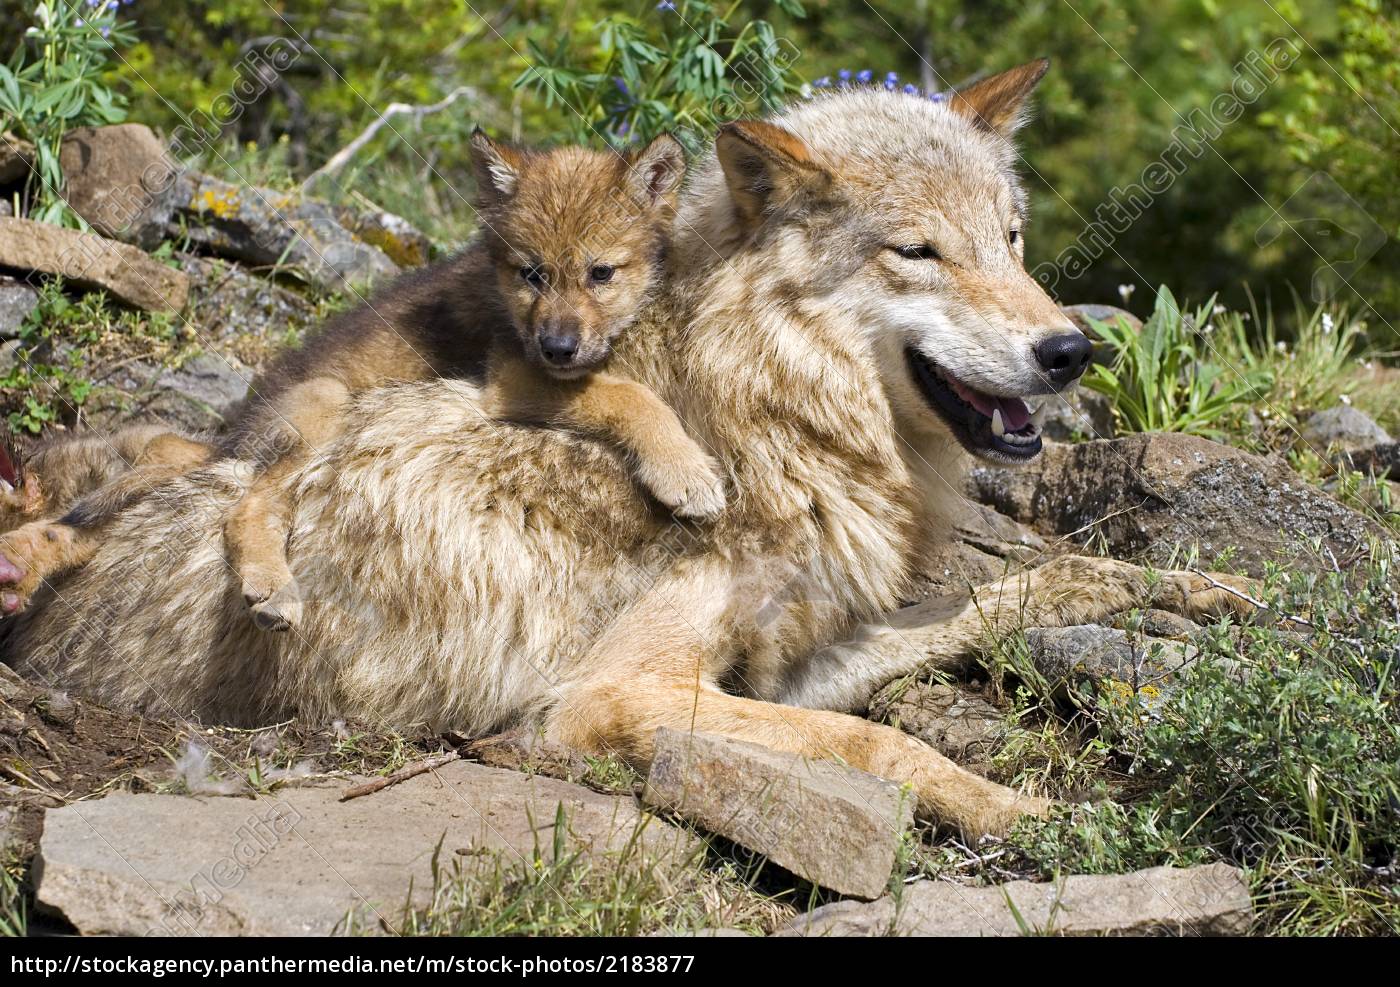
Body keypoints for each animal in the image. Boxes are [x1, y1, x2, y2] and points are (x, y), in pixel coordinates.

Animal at [0, 59, 1248, 828]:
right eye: (918, 252)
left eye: (1012, 238)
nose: (1069, 351)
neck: (761, 416)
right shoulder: (611, 699)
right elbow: (883, 749)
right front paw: (1021, 813)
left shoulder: (793, 653)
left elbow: (1022, 588)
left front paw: (1204, 589)